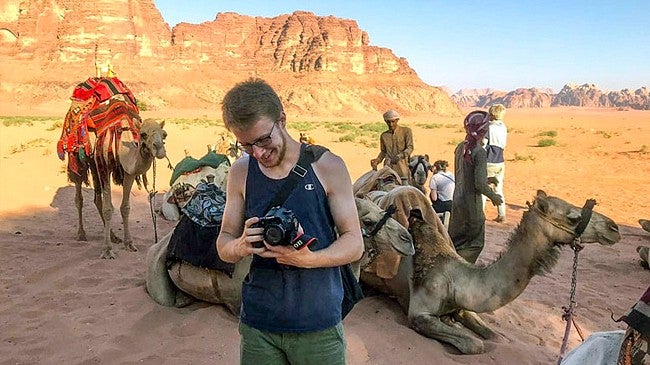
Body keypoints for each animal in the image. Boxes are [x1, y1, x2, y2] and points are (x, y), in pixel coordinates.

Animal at [360, 189, 616, 354]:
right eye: (573, 217)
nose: (613, 228)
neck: (456, 277)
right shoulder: (419, 314)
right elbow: (475, 344)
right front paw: (455, 327)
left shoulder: (462, 306)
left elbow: (497, 337)